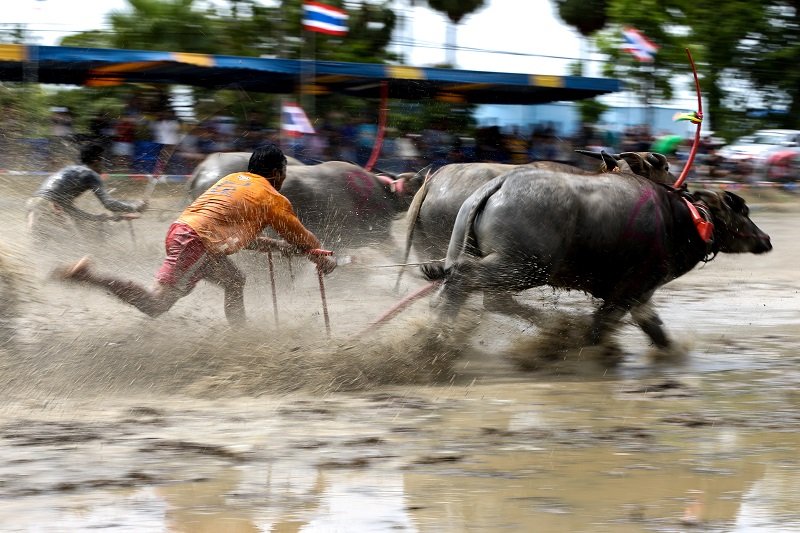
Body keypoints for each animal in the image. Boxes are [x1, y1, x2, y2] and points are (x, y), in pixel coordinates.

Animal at [422, 166, 772, 354]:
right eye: (743, 211)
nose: (766, 239)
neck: (681, 219)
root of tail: (500, 183)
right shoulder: (631, 290)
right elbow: (600, 327)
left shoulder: (640, 295)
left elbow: (655, 330)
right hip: (523, 267)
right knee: (465, 278)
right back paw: (440, 334)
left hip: (497, 260)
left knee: (482, 293)